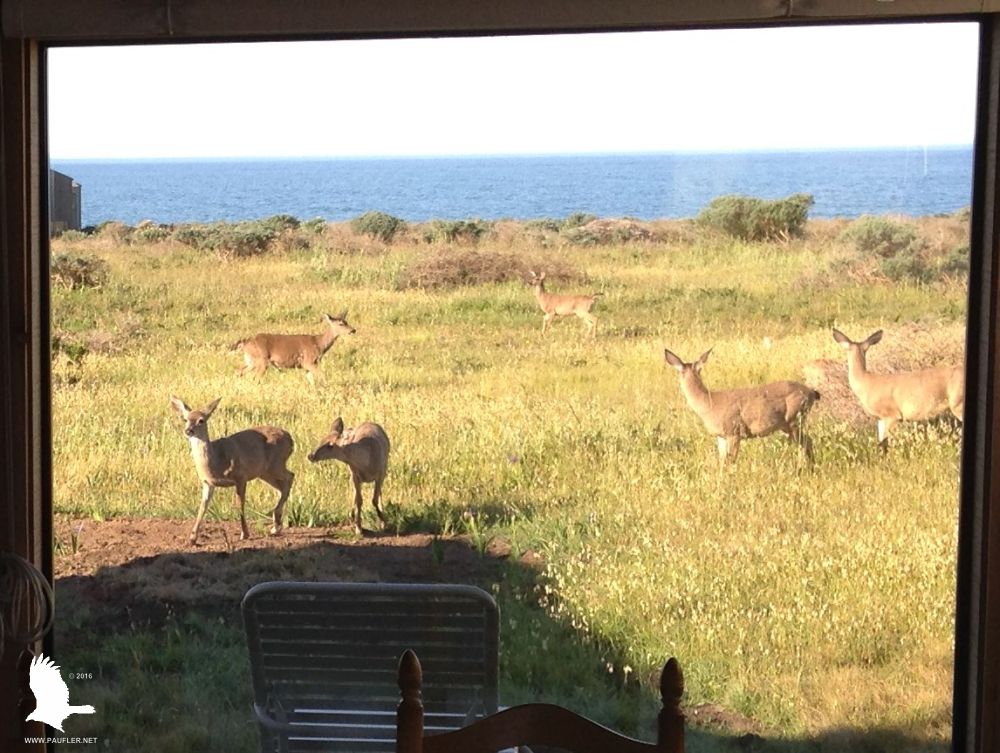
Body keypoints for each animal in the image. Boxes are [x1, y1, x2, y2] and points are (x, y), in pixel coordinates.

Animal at [167, 396, 292, 544]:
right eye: (185, 419)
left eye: (201, 420)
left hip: (276, 464)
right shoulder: (207, 483)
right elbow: (202, 507)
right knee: (281, 487)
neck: (216, 462)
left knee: (290, 476)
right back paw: (276, 526)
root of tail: (291, 439)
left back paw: (276, 522)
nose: (188, 431)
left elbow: (240, 504)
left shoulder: (241, 476)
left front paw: (244, 534)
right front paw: (192, 538)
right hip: (264, 472)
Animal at [664, 346, 820, 464]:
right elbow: (722, 462)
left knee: (806, 443)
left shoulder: (734, 431)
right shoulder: (721, 436)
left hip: (795, 419)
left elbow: (731, 460)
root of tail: (811, 393)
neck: (708, 404)